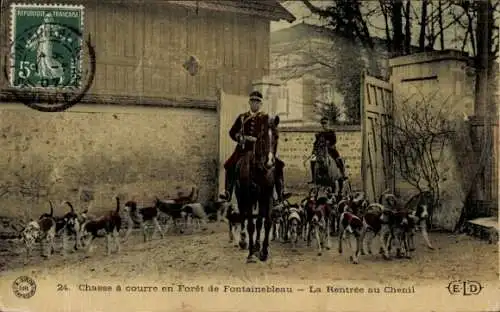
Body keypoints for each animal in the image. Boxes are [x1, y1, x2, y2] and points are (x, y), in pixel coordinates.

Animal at [233, 114, 280, 260]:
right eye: (262, 137)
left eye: (276, 136)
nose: (270, 162)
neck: (260, 171)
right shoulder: (249, 196)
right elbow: (251, 225)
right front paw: (251, 253)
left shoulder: (267, 196)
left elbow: (265, 222)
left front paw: (263, 250)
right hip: (241, 195)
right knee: (243, 215)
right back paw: (243, 240)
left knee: (258, 221)